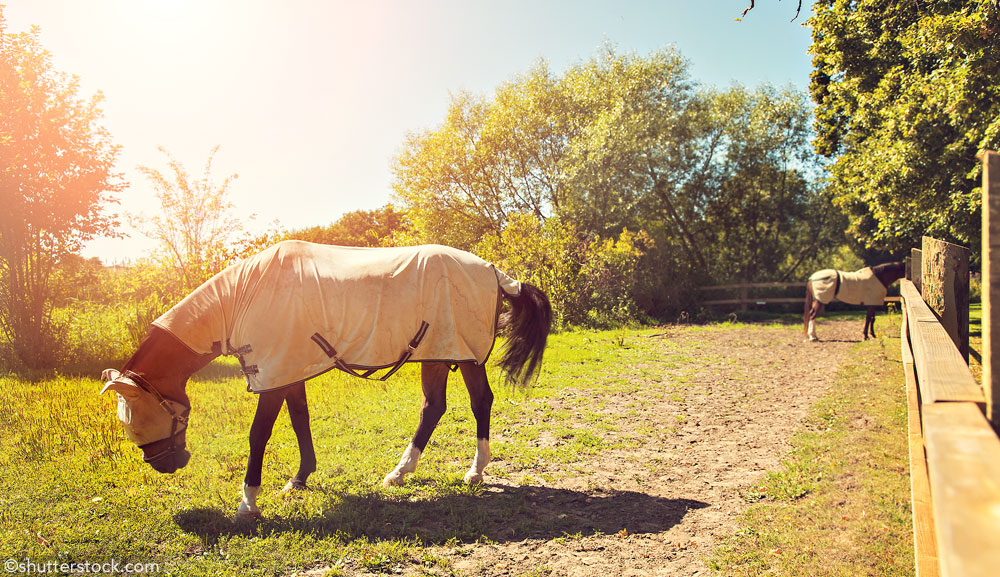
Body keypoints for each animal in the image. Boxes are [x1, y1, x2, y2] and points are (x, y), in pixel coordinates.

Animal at [100, 241, 552, 516]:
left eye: (138, 419)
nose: (166, 465)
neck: (243, 297)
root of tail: (495, 273)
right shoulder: (289, 371)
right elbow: (300, 421)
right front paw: (299, 480)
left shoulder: (274, 374)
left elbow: (259, 434)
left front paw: (248, 503)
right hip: (437, 355)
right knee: (433, 407)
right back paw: (400, 473)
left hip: (466, 357)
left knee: (479, 403)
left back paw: (475, 471)